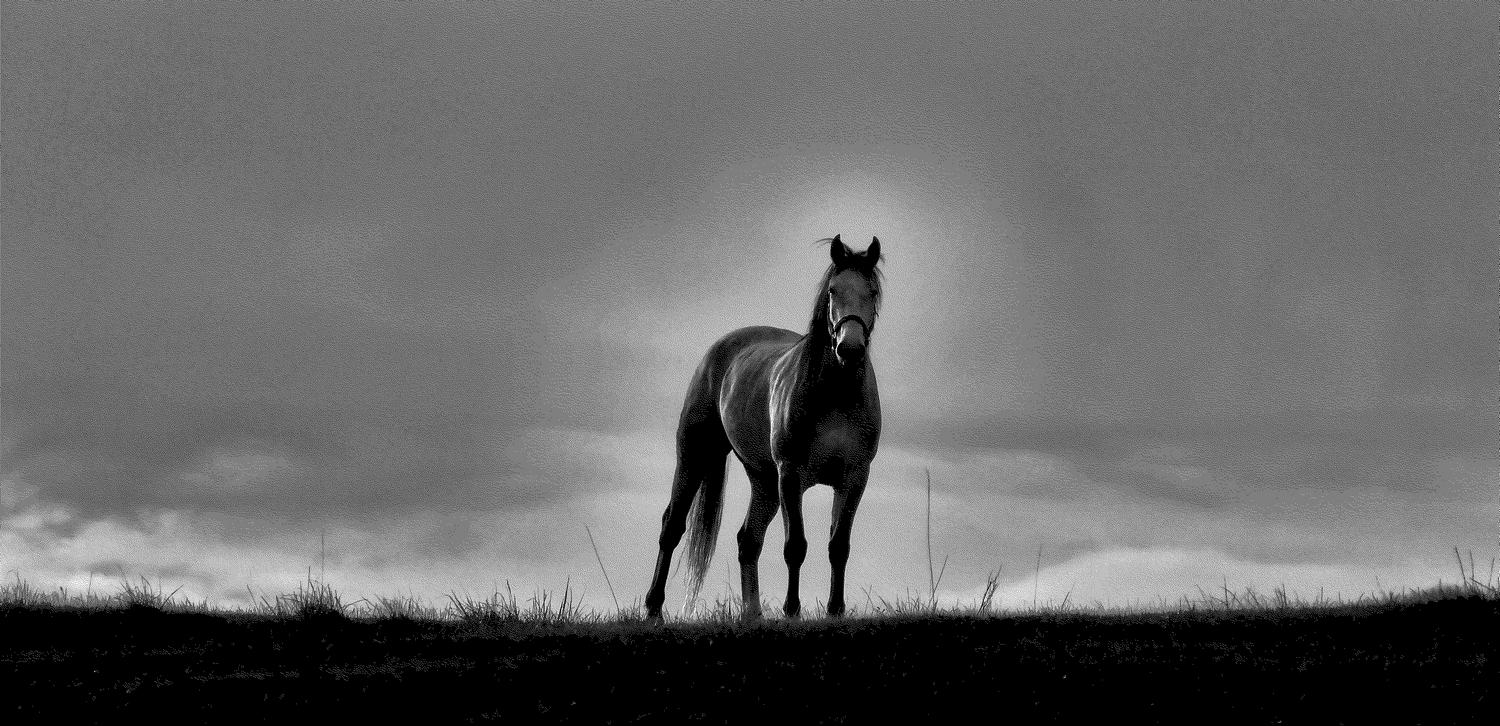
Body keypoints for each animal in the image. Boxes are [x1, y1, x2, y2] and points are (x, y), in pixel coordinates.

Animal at [645, 235, 883, 620]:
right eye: (833, 290)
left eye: (872, 291)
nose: (849, 348)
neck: (835, 393)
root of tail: (718, 352)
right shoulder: (791, 474)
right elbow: (795, 546)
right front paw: (791, 610)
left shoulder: (854, 478)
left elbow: (838, 547)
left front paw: (835, 610)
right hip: (696, 456)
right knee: (673, 526)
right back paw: (653, 607)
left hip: (764, 481)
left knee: (749, 540)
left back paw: (752, 613)